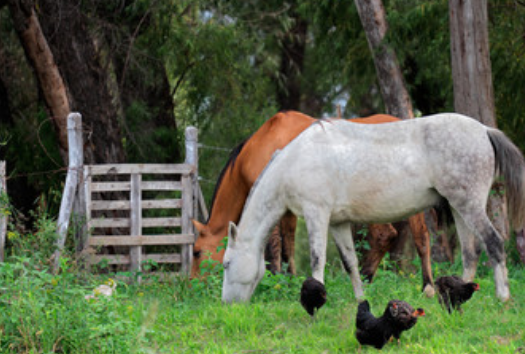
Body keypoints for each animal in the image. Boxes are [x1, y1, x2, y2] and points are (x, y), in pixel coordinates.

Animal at [192, 112, 434, 294]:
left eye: (196, 252)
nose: (191, 283)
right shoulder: (288, 206)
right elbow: (287, 243)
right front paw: (290, 279)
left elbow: (276, 245)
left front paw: (280, 279)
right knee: (421, 237)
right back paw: (425, 286)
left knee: (384, 236)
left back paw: (366, 278)